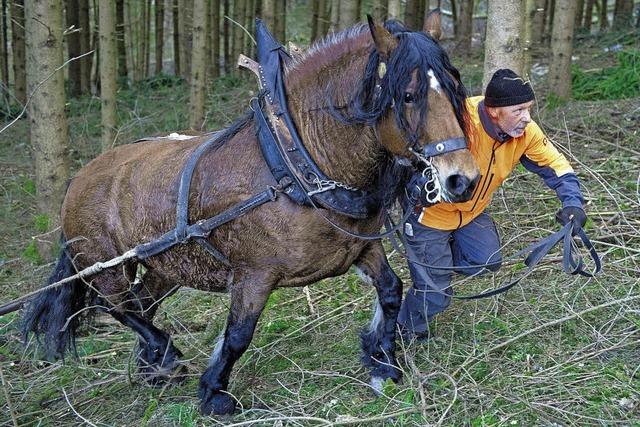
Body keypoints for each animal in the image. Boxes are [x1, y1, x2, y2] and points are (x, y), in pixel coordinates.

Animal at [22, 15, 478, 414]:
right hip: (105, 266)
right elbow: (239, 334)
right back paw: (164, 352)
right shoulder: (254, 275)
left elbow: (391, 289)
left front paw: (381, 360)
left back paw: (154, 364)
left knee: (142, 305)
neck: (296, 167)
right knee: (117, 308)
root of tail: (78, 179)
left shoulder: (358, 249)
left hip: (167, 267)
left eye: (455, 87)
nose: (462, 179)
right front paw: (214, 394)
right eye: (408, 96)